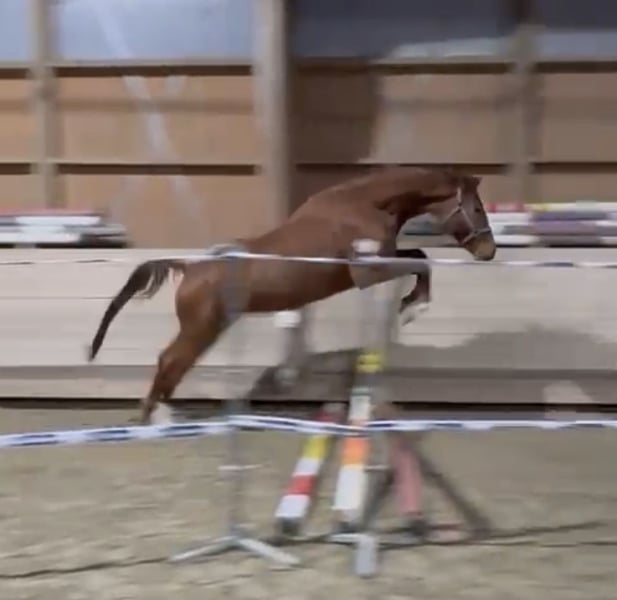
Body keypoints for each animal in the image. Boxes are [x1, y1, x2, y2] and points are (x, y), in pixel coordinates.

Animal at [87, 166, 496, 424]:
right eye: (476, 207)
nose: (489, 251)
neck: (366, 205)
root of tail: (190, 268)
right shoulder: (369, 272)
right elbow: (421, 261)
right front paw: (413, 307)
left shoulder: (382, 261)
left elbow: (418, 256)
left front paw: (410, 305)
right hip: (202, 328)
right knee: (170, 360)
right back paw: (154, 415)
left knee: (173, 363)